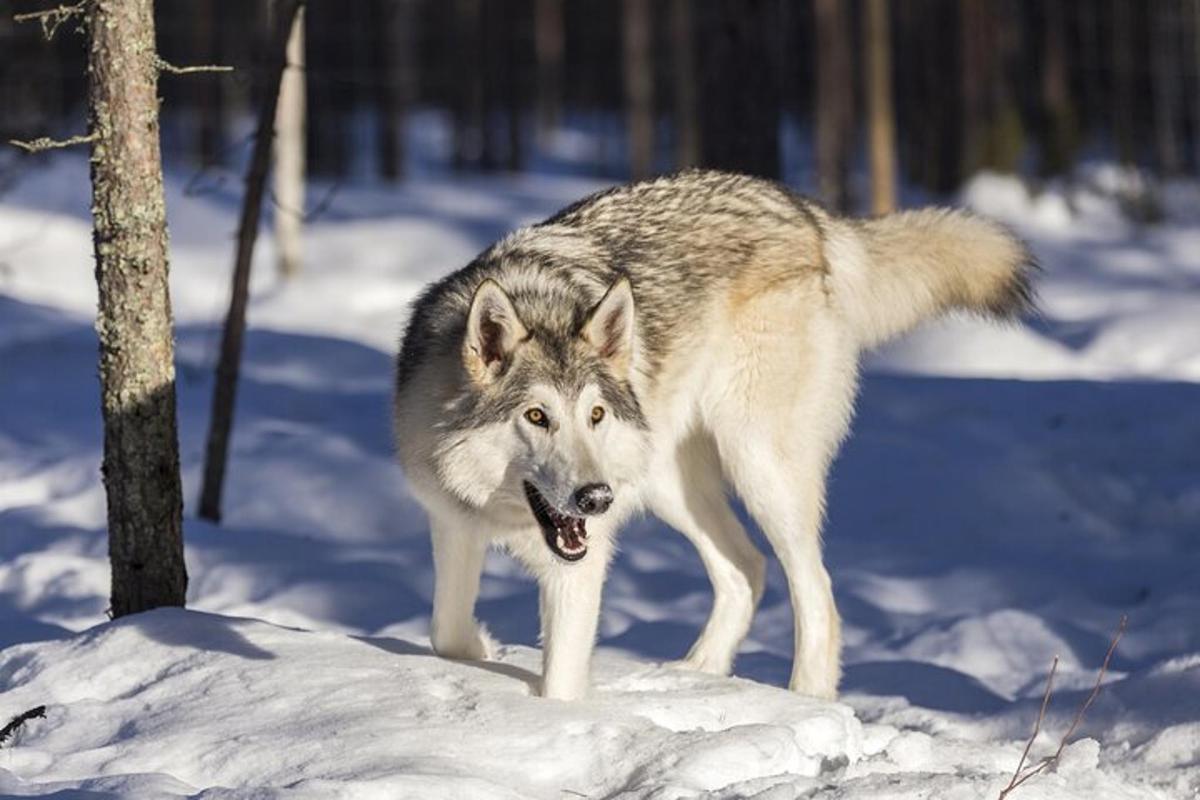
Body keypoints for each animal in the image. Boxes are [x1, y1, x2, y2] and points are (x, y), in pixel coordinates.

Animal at [393, 169, 1032, 700]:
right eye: (535, 416)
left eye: (594, 415)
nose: (595, 499)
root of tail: (806, 213)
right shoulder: (452, 523)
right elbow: (445, 630)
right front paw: (482, 647)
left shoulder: (580, 566)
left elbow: (560, 688)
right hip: (666, 484)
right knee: (747, 569)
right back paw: (696, 677)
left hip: (758, 468)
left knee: (816, 591)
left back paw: (803, 702)